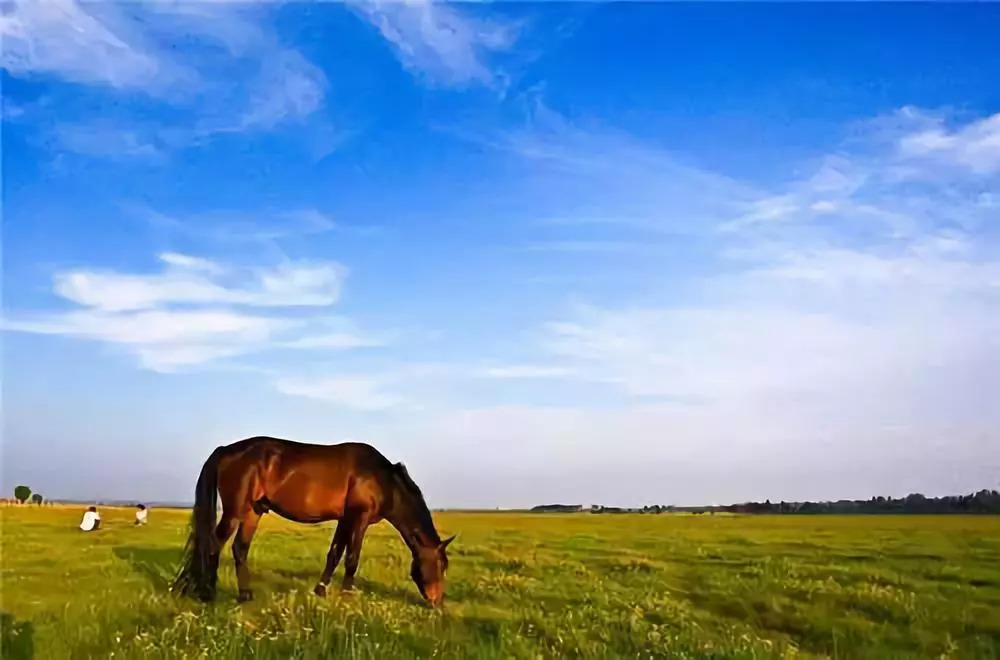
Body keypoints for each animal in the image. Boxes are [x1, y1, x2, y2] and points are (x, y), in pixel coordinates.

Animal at [171, 436, 454, 604]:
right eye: (440, 565)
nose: (437, 601)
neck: (382, 479)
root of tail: (225, 450)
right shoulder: (359, 518)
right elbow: (352, 559)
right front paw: (347, 597)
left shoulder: (345, 519)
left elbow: (335, 554)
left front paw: (320, 591)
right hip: (234, 511)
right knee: (214, 544)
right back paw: (207, 593)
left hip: (253, 511)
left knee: (239, 548)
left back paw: (245, 596)